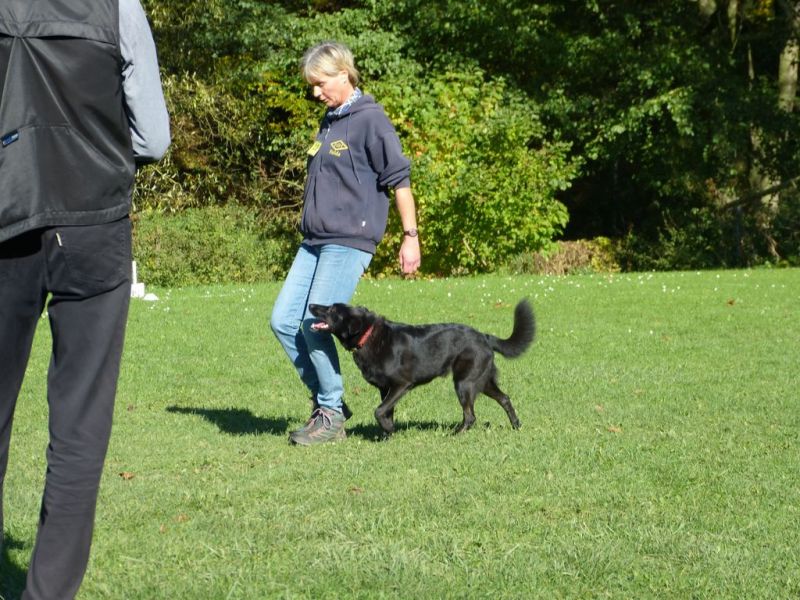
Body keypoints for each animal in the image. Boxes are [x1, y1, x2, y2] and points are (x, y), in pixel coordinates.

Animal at [308, 299, 535, 436]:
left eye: (332, 310)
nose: (311, 304)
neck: (368, 335)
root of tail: (485, 337)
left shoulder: (402, 384)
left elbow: (379, 410)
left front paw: (388, 429)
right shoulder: (385, 389)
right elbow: (387, 411)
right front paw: (388, 434)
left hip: (464, 383)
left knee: (470, 416)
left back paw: (456, 434)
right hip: (481, 381)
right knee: (504, 398)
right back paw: (516, 425)